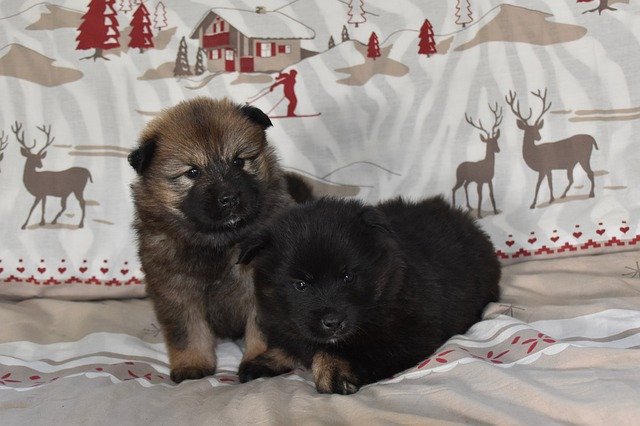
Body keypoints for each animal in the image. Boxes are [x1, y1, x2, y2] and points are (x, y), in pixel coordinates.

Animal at [128, 97, 298, 383]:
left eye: (239, 161)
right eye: (193, 172)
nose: (228, 198)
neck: (219, 241)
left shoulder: (262, 288)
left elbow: (262, 329)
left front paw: (261, 362)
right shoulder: (177, 291)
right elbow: (188, 332)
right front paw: (193, 364)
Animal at [237, 196, 501, 394]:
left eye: (348, 277)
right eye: (301, 285)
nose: (333, 322)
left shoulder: (412, 334)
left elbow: (347, 351)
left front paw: (334, 371)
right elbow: (295, 342)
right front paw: (265, 359)